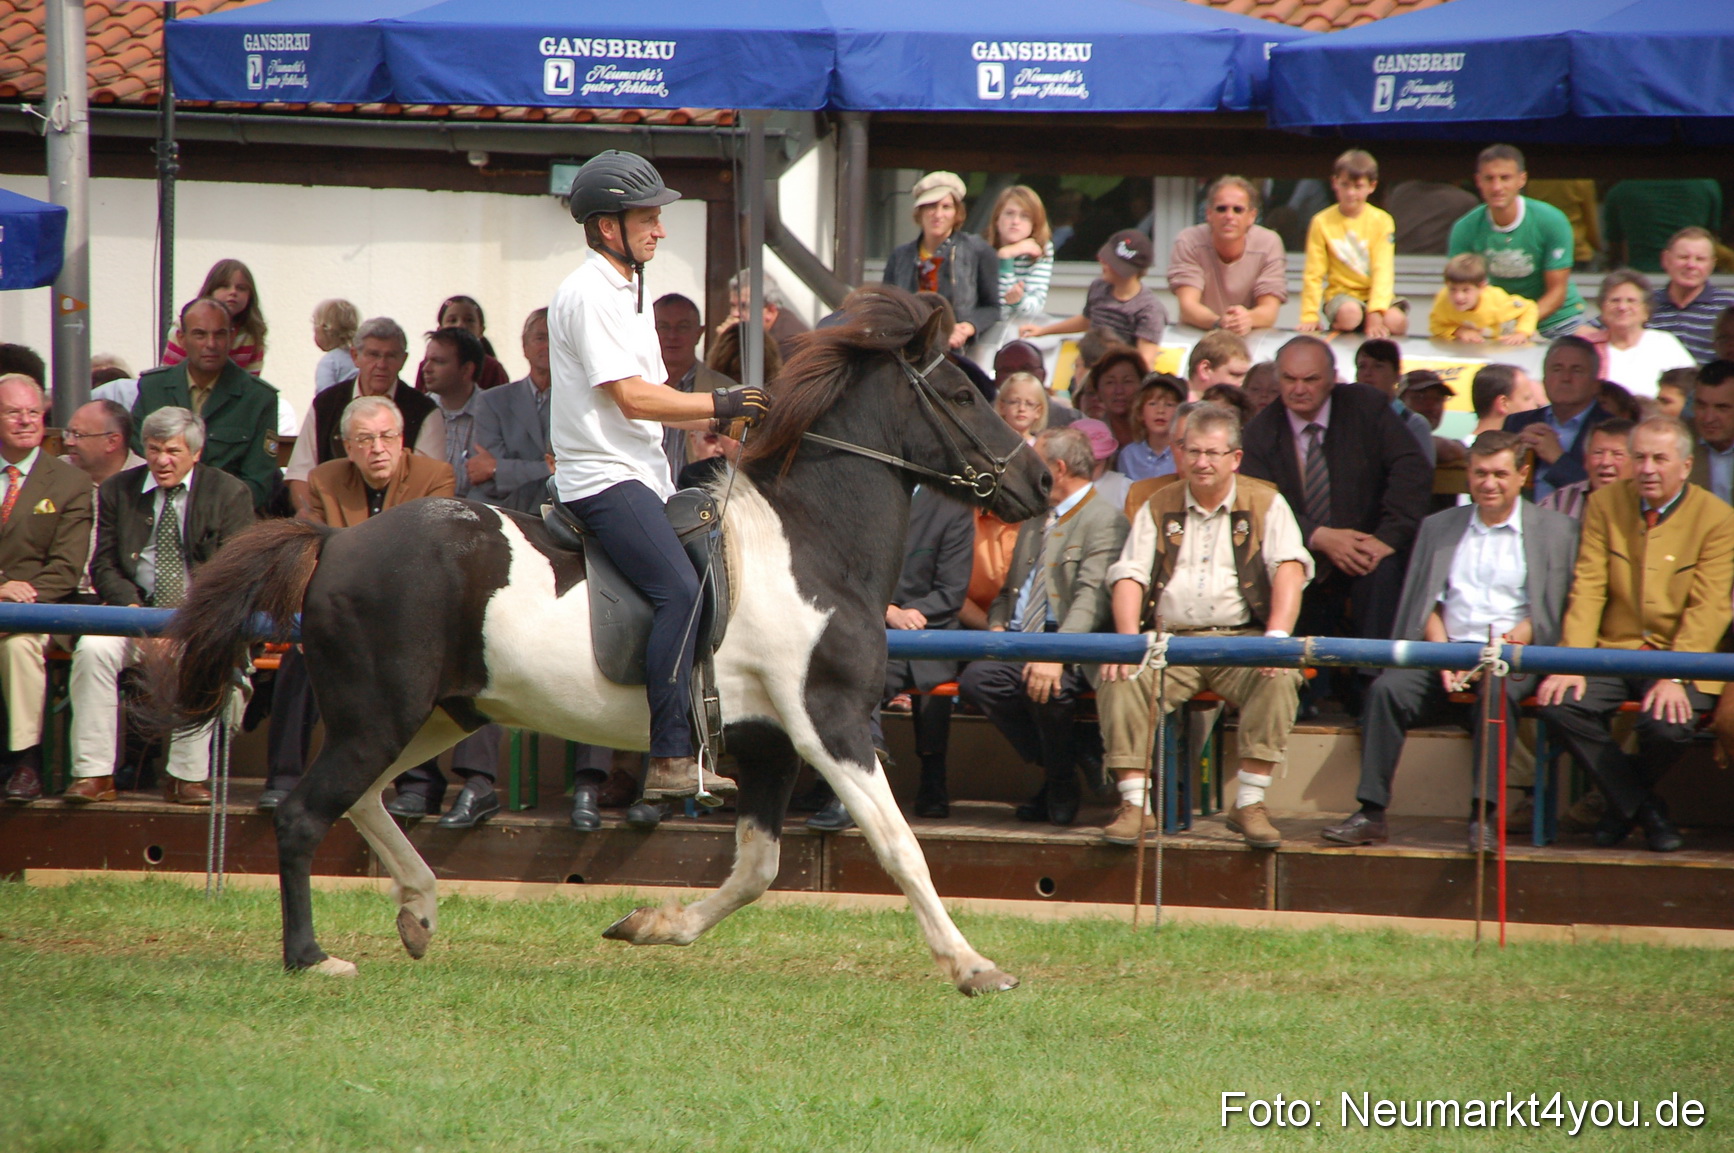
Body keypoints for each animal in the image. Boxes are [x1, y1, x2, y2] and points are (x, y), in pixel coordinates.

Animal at [149, 286, 1051, 995]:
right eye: (960, 397)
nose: (1041, 481)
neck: (811, 543)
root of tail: (334, 540)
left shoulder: (769, 742)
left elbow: (756, 870)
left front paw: (651, 924)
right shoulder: (829, 724)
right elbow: (900, 846)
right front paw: (974, 966)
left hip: (437, 713)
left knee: (364, 798)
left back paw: (420, 908)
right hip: (383, 714)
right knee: (307, 814)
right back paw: (312, 955)